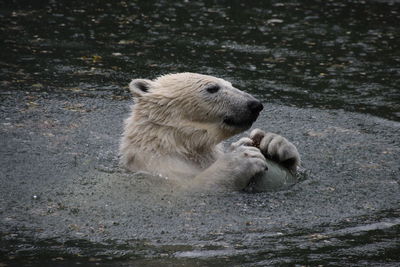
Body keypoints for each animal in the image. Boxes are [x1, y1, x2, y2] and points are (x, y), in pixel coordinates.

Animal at [119, 73, 300, 191]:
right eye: (212, 88)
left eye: (231, 84)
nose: (255, 104)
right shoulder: (161, 169)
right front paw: (241, 159)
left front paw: (273, 143)